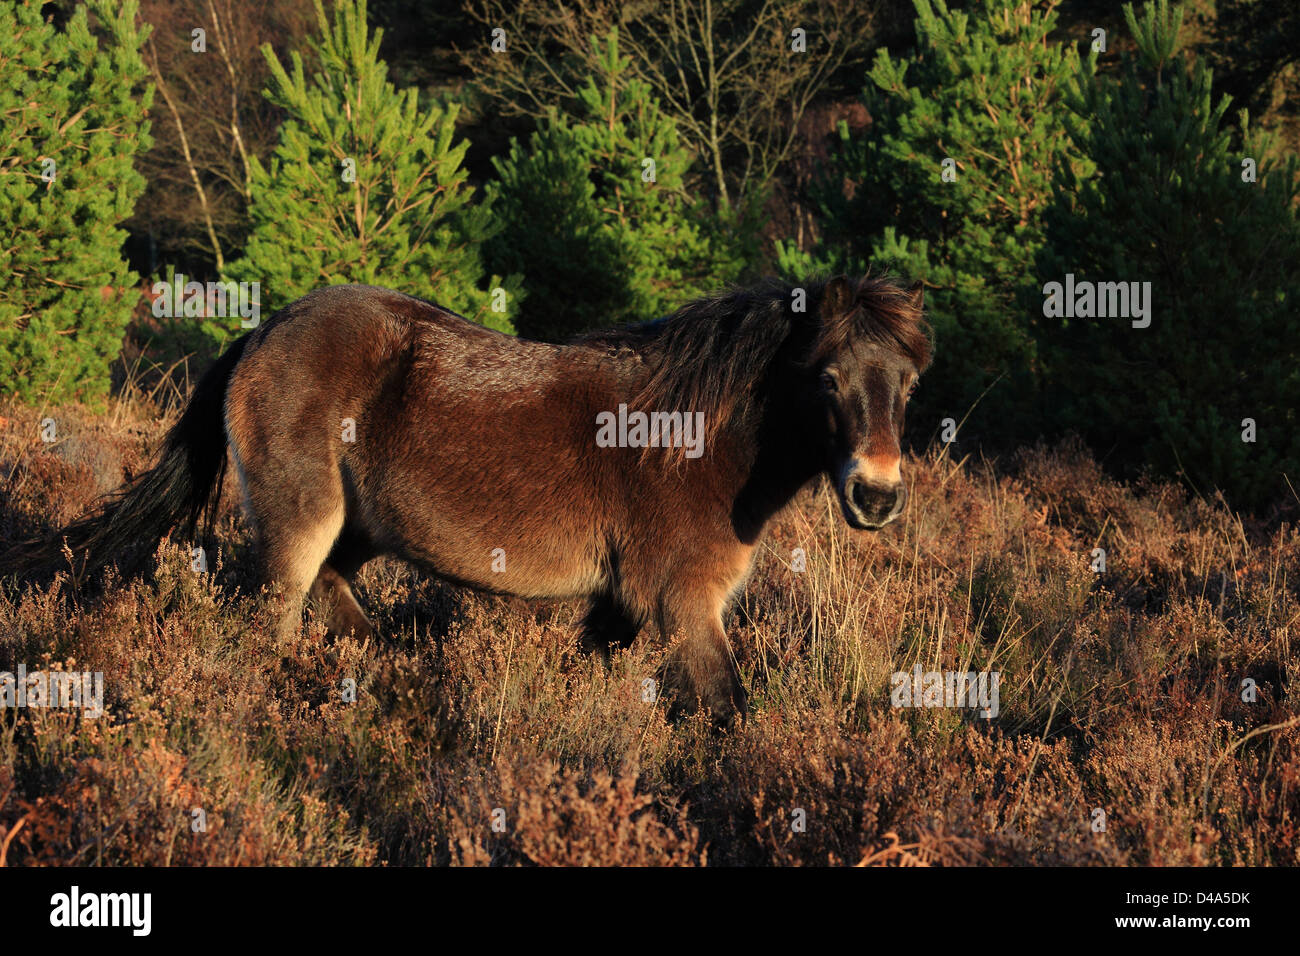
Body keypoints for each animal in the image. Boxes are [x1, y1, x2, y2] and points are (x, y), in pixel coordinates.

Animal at [5, 277, 930, 723]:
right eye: (828, 378)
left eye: (910, 384)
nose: (877, 496)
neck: (699, 434)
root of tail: (263, 332)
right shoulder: (683, 603)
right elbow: (730, 709)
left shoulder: (622, 603)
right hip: (300, 526)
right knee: (269, 620)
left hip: (360, 528)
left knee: (341, 603)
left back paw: (391, 681)